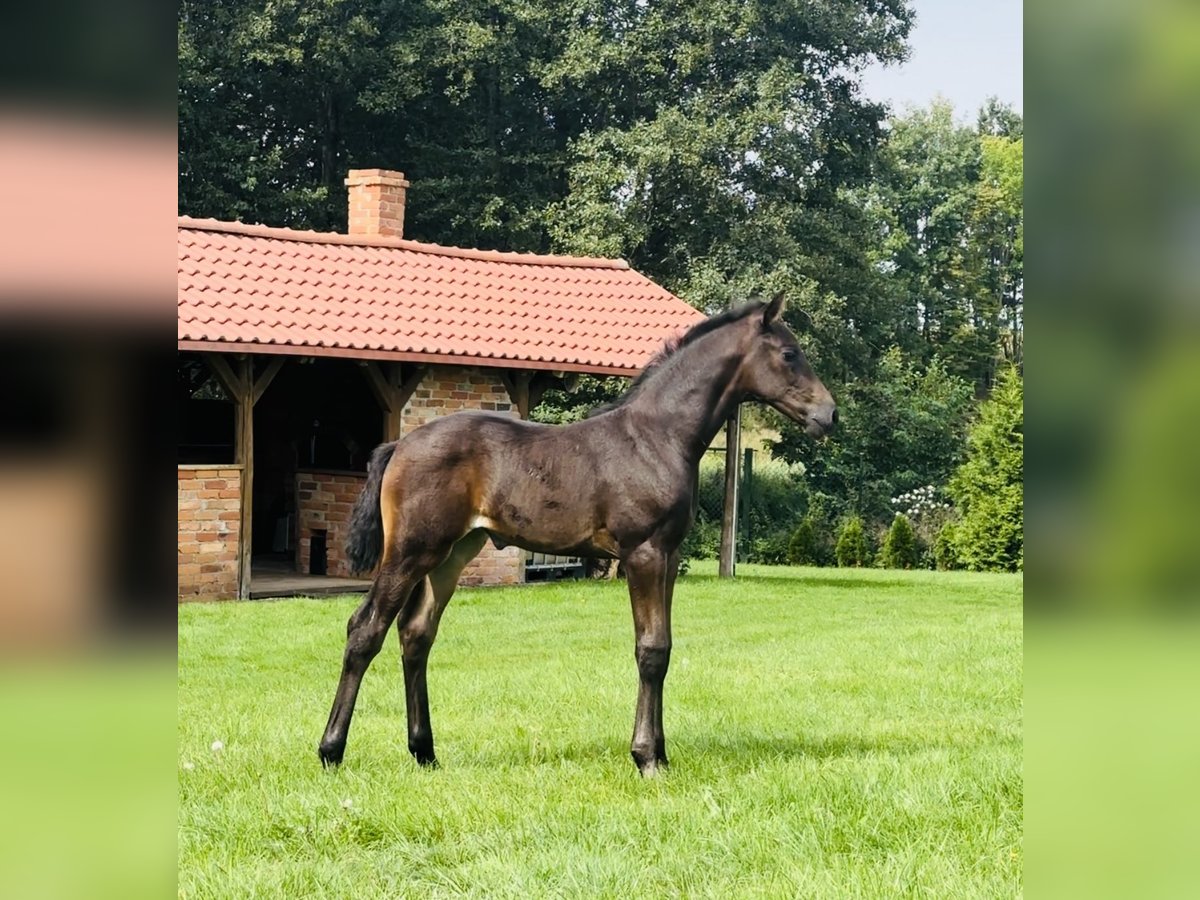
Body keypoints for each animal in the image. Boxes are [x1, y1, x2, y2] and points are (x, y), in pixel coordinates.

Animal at [319, 296, 835, 777]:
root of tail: (399, 444)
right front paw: (646, 758)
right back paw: (331, 751)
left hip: (452, 555)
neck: (657, 438)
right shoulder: (643, 553)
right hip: (410, 551)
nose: (828, 414)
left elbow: (665, 646)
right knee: (365, 629)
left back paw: (424, 752)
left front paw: (662, 754)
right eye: (789, 353)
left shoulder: (669, 556)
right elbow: (650, 649)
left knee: (416, 633)